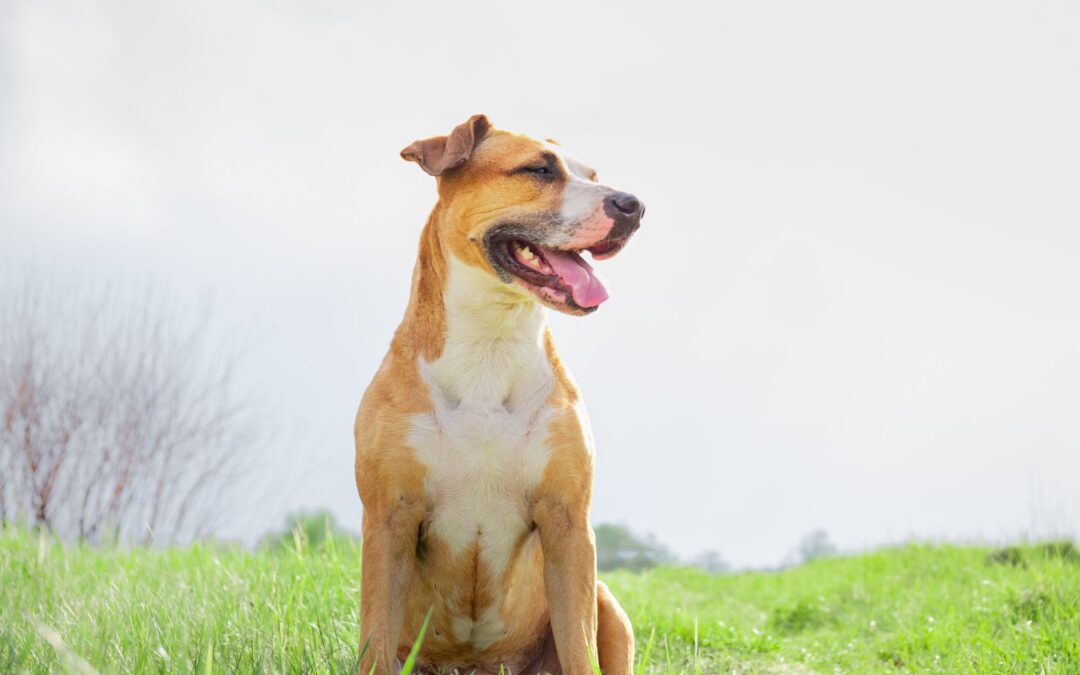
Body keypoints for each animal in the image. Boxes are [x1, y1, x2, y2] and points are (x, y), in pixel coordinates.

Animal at [354, 115, 639, 673]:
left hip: (608, 604)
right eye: (538, 170)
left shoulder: (569, 523)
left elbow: (579, 646)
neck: (493, 338)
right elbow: (375, 637)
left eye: (593, 175)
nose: (633, 205)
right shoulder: (389, 518)